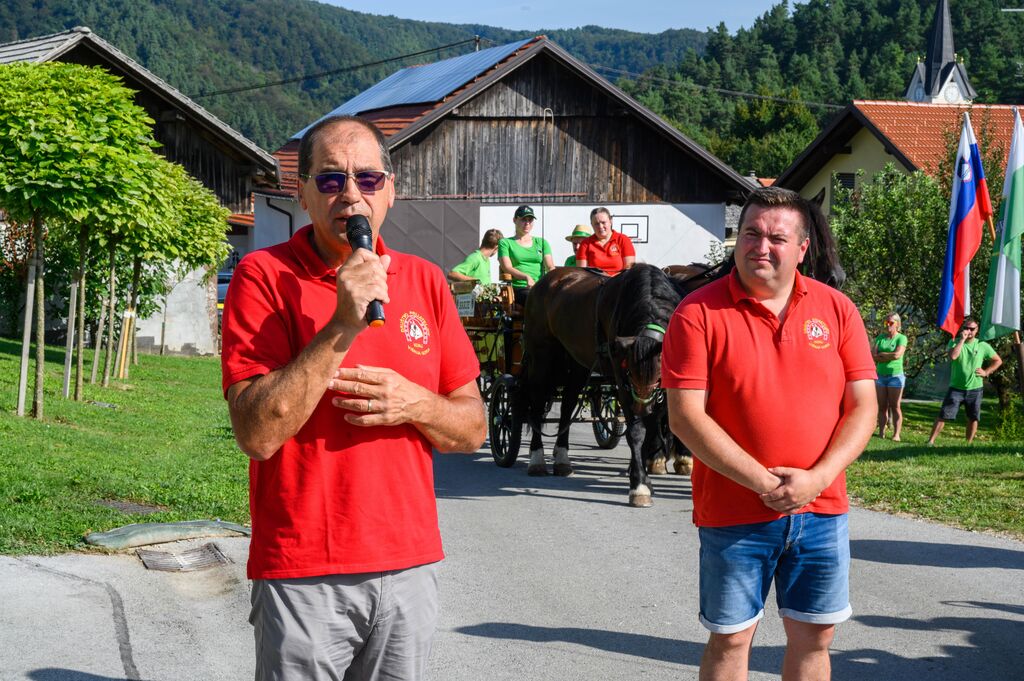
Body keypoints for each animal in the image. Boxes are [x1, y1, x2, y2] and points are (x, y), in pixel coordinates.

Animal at [517, 264, 682, 507]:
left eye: (660, 374)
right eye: (628, 372)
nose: (642, 407)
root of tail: (548, 280)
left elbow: (652, 426)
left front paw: (646, 475)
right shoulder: (621, 379)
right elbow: (637, 431)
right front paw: (639, 486)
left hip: (576, 363)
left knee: (567, 406)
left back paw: (562, 460)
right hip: (541, 358)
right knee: (537, 406)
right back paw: (537, 460)